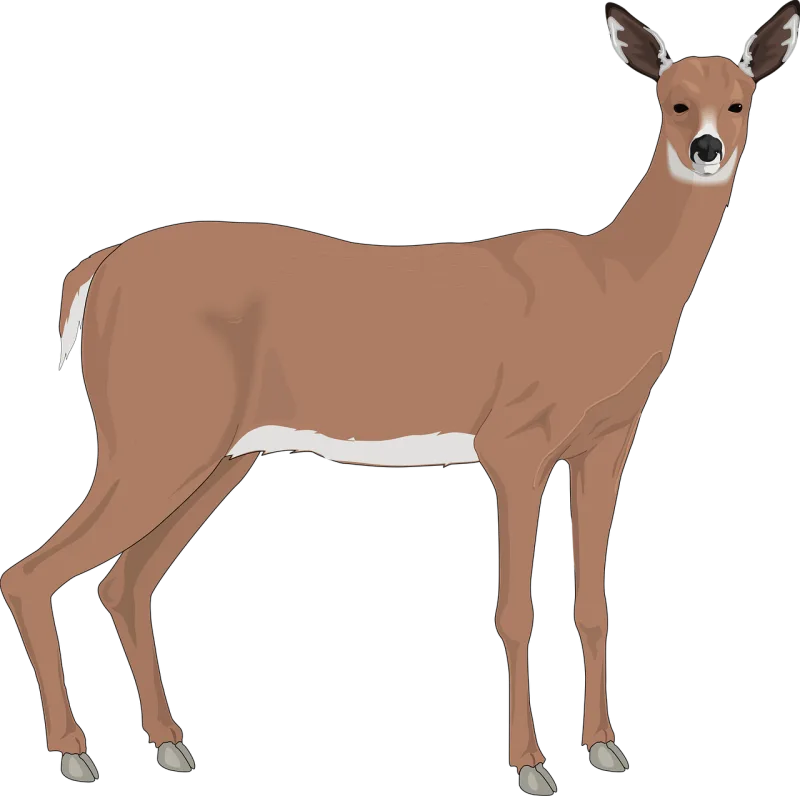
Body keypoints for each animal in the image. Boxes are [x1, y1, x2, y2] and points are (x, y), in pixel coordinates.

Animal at [2, 4, 797, 789]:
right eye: (673, 102)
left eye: (740, 100)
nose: (706, 148)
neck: (614, 285)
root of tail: (98, 271)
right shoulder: (516, 443)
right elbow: (514, 609)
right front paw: (531, 763)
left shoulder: (607, 442)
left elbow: (594, 604)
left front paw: (605, 748)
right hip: (156, 439)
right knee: (31, 575)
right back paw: (75, 753)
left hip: (219, 455)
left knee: (125, 583)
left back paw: (170, 745)